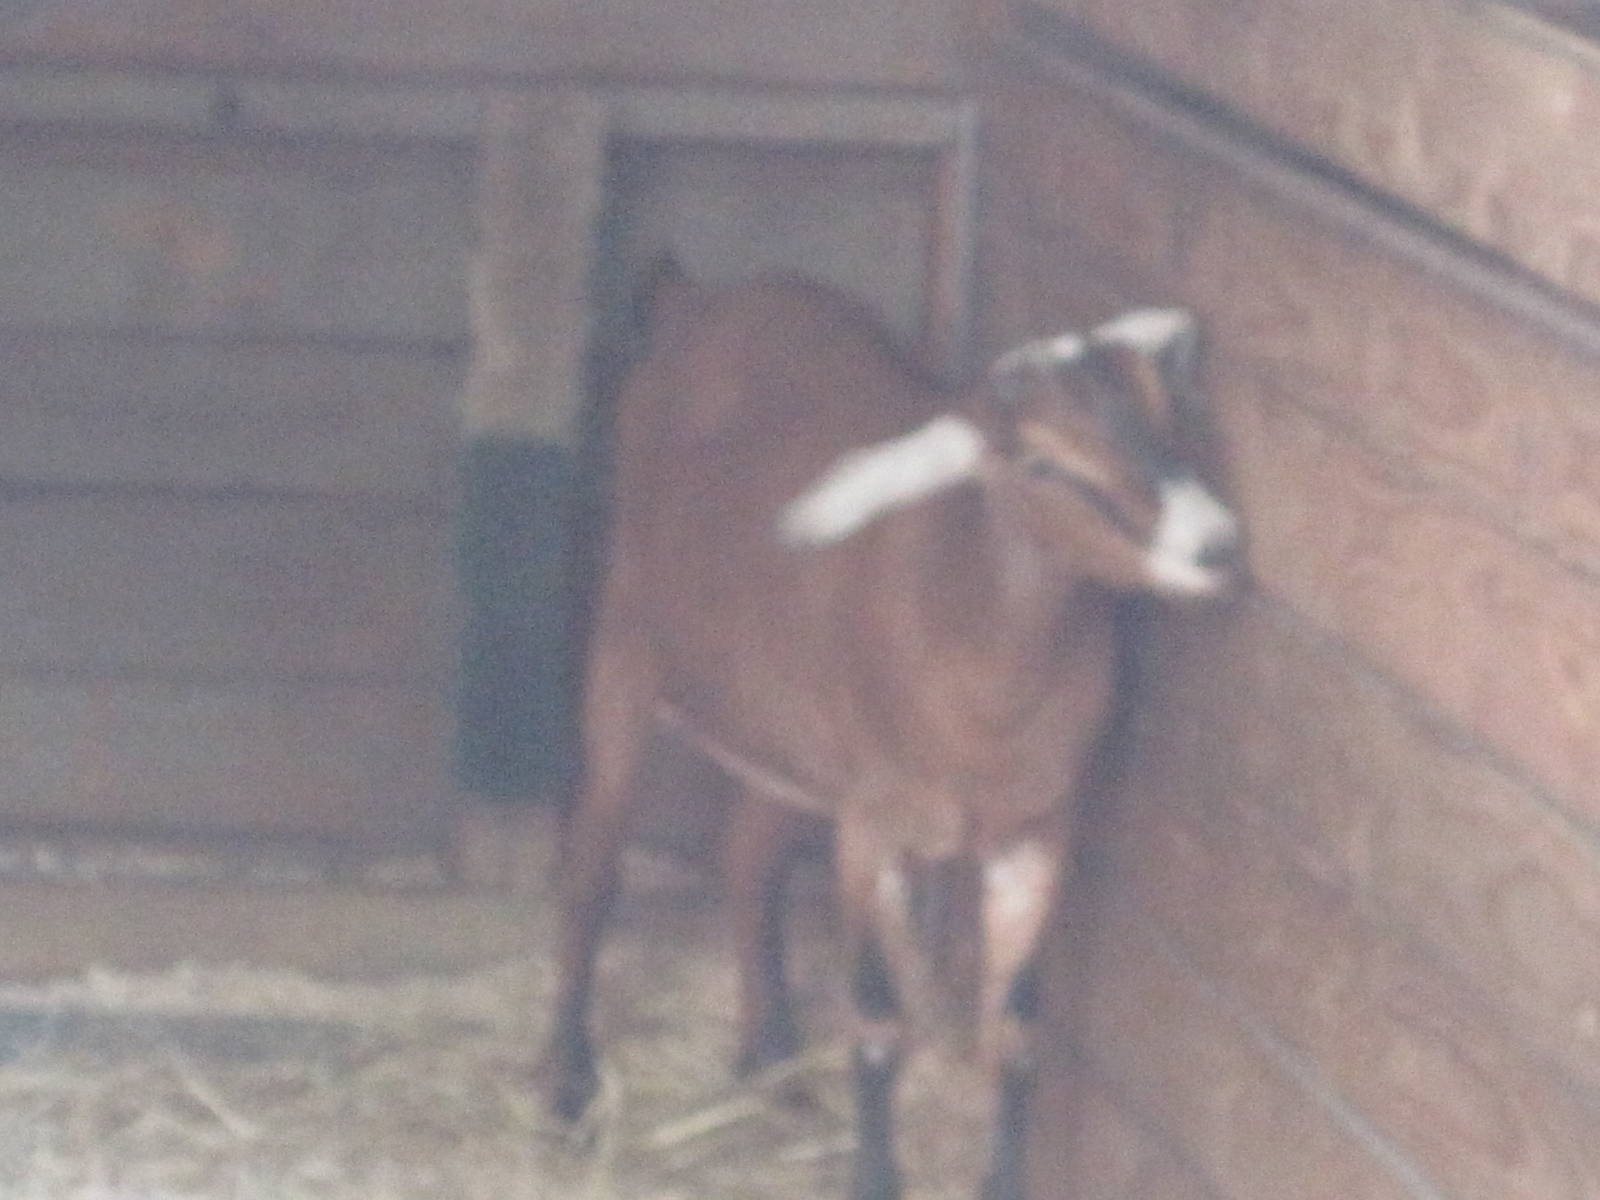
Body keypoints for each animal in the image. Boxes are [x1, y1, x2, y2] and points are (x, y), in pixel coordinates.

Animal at [540, 262, 1239, 1200]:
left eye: (1167, 418)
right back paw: (570, 1084)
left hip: (788, 731)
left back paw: (772, 1058)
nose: (1217, 546)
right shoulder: (873, 826)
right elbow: (876, 1025)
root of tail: (701, 296)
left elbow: (1016, 1034)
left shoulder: (1036, 831)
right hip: (624, 642)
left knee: (746, 855)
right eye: (1042, 461)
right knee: (592, 864)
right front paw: (875, 1177)